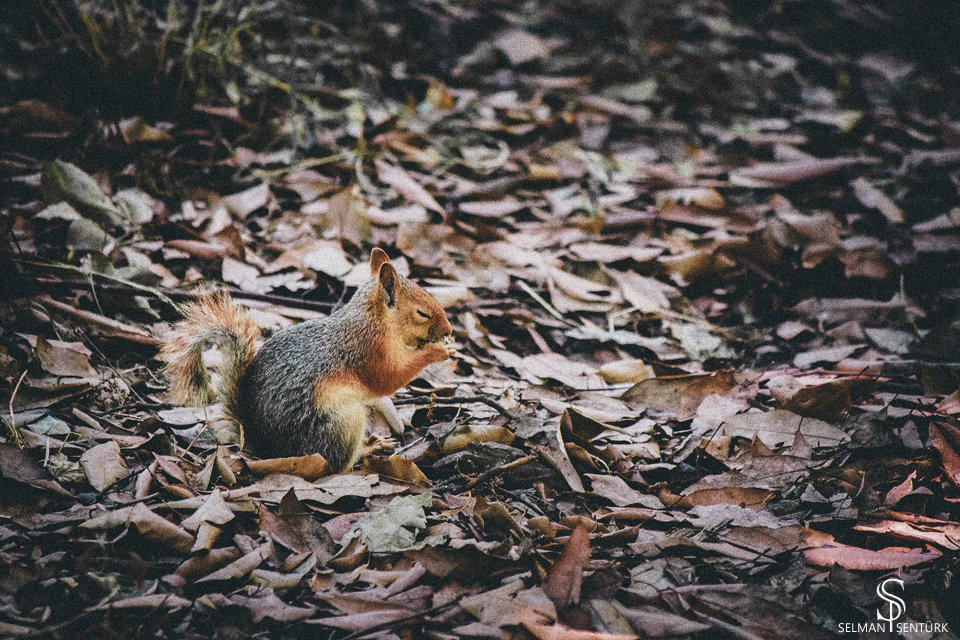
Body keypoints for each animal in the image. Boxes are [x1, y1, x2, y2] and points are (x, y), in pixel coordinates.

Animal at [160, 248, 454, 472]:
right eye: (422, 313)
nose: (449, 330)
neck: (372, 319)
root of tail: (266, 446)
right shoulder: (368, 351)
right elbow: (388, 378)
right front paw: (438, 351)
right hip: (340, 423)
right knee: (337, 465)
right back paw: (369, 449)